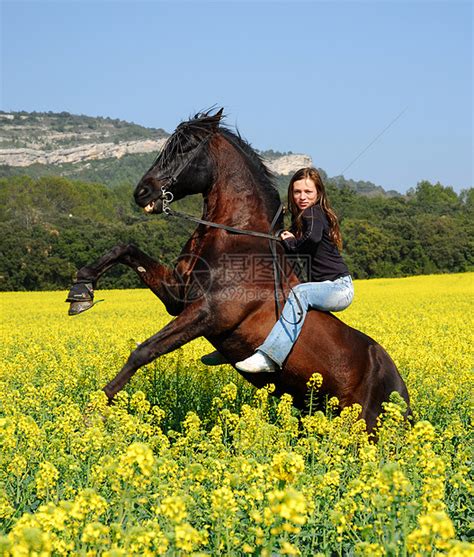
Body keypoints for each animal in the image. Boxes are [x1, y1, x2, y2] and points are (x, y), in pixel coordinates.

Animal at [67, 107, 412, 430]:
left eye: (184, 148)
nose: (142, 192)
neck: (234, 236)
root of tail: (401, 390)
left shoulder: (208, 312)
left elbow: (143, 351)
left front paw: (92, 411)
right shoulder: (177, 296)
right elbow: (124, 249)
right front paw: (81, 292)